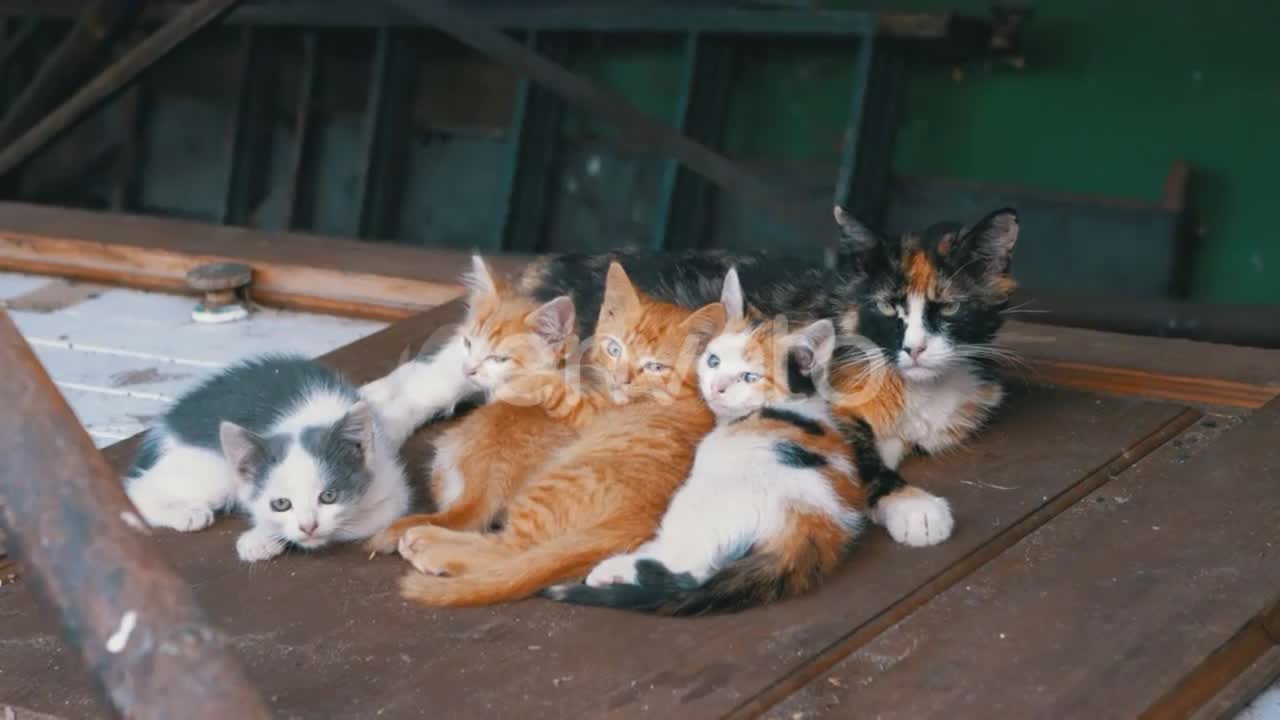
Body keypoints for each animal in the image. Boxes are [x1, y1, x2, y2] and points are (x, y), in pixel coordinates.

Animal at [122, 353, 407, 561]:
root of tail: (166, 428)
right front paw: (262, 537)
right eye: (281, 503)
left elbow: (357, 523)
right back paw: (187, 513)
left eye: (329, 496)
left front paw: (262, 538)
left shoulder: (390, 489)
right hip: (213, 470)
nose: (308, 527)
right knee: (135, 489)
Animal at [394, 260, 727, 602]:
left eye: (656, 367)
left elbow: (554, 389)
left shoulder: (590, 409)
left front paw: (526, 380)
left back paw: (427, 545)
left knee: (509, 548)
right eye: (614, 348)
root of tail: (638, 518)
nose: (469, 369)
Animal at [545, 266, 865, 614]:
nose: (716, 387)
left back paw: (609, 571)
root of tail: (808, 538)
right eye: (713, 361)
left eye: (749, 377)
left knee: (687, 567)